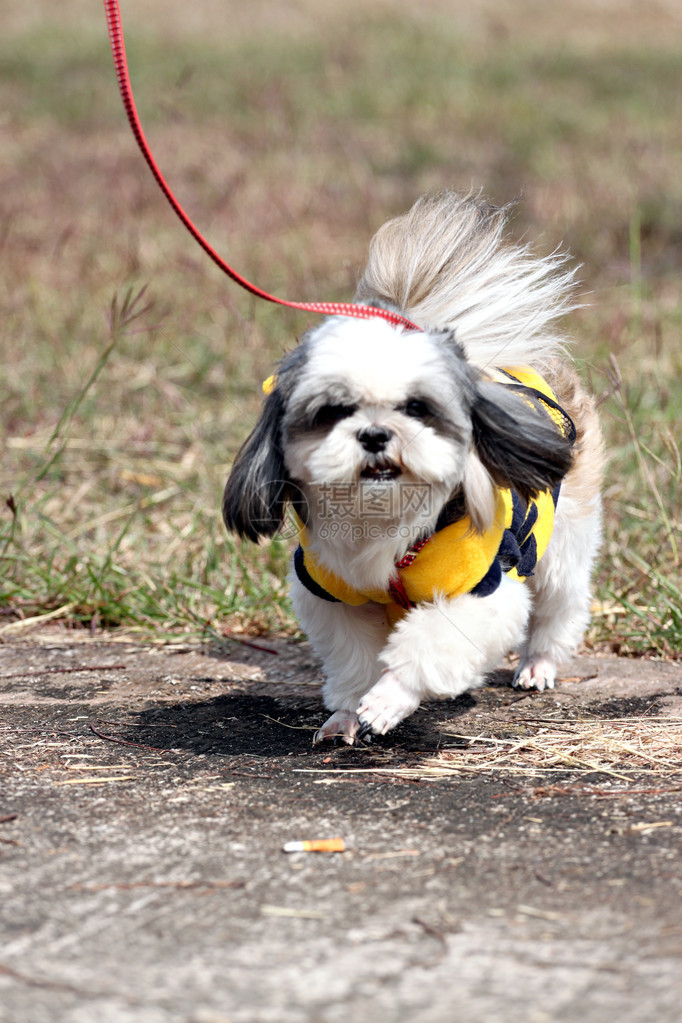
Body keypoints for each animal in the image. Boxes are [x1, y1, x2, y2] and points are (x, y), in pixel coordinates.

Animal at [222, 192, 601, 744]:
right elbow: (355, 658)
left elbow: (432, 644)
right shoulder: (331, 594)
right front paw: (346, 714)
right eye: (333, 411)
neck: (385, 521)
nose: (376, 434)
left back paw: (538, 665)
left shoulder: (484, 590)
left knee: (559, 605)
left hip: (562, 543)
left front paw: (387, 701)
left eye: (416, 408)